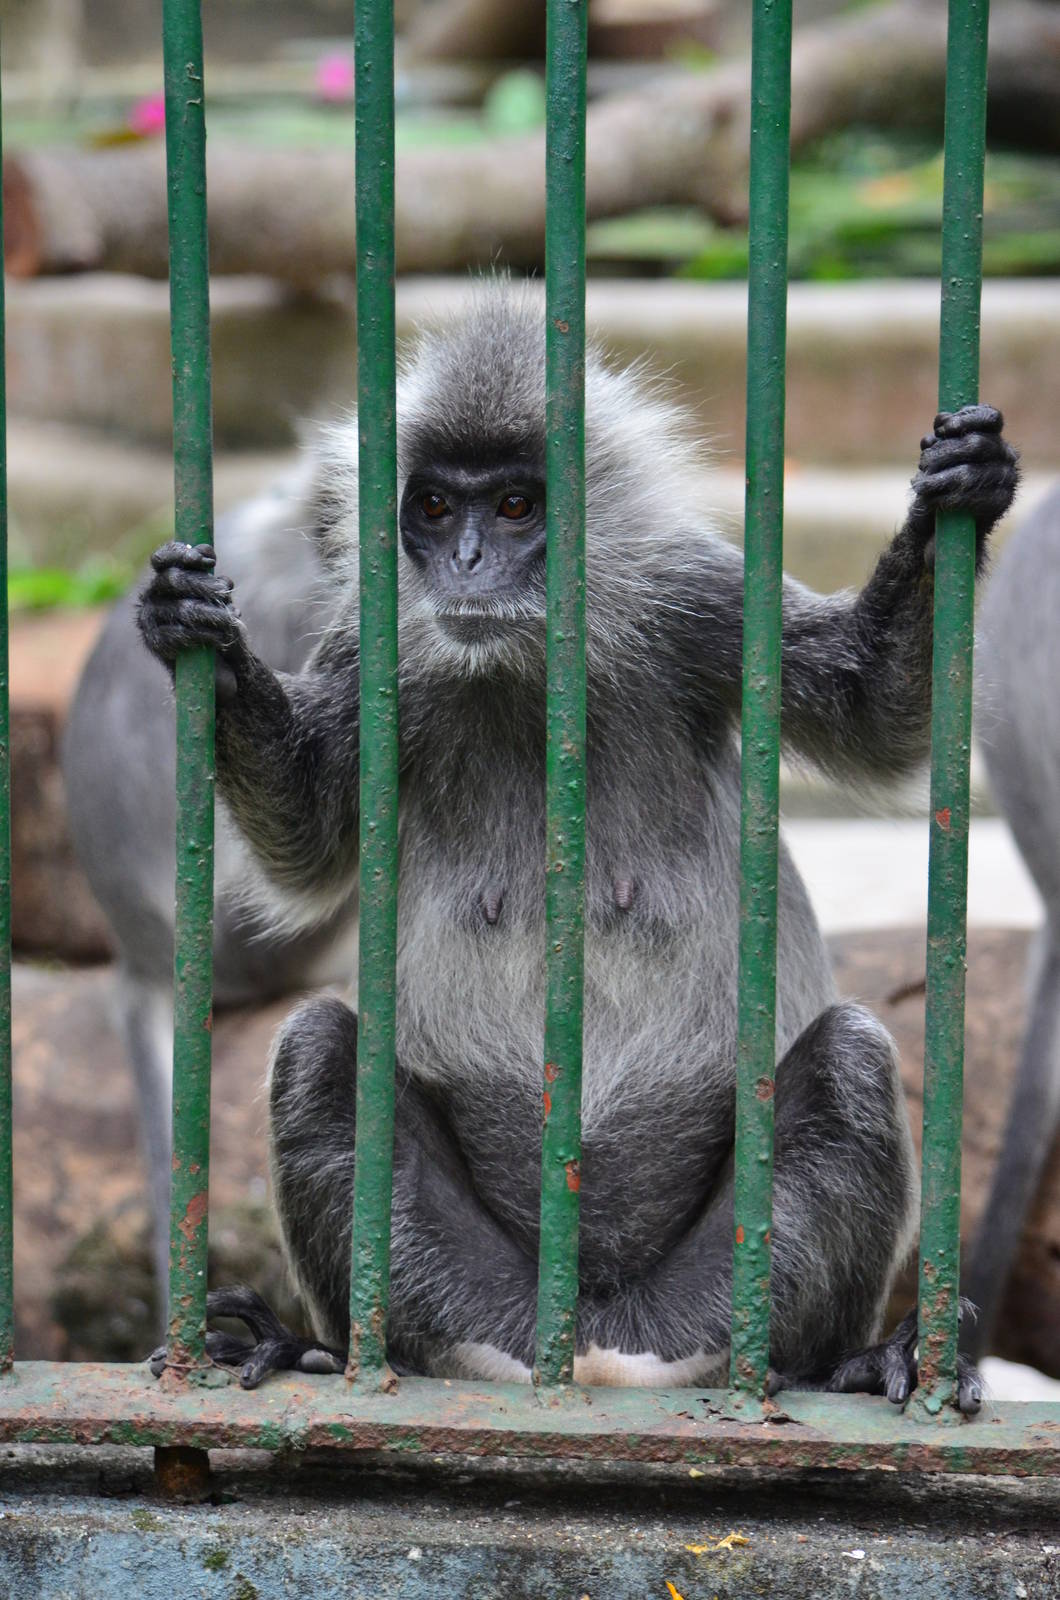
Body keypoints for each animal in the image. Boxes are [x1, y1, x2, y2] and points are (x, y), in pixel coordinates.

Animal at [137, 287, 1018, 1404]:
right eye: (436, 509)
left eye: (516, 508)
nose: (468, 563)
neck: (527, 665)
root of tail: (590, 1331)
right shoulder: (375, 644)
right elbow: (303, 833)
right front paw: (202, 638)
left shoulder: (701, 598)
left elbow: (879, 717)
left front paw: (957, 493)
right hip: (468, 1301)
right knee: (316, 1051)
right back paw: (320, 1348)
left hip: (723, 1291)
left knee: (855, 1058)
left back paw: (854, 1361)